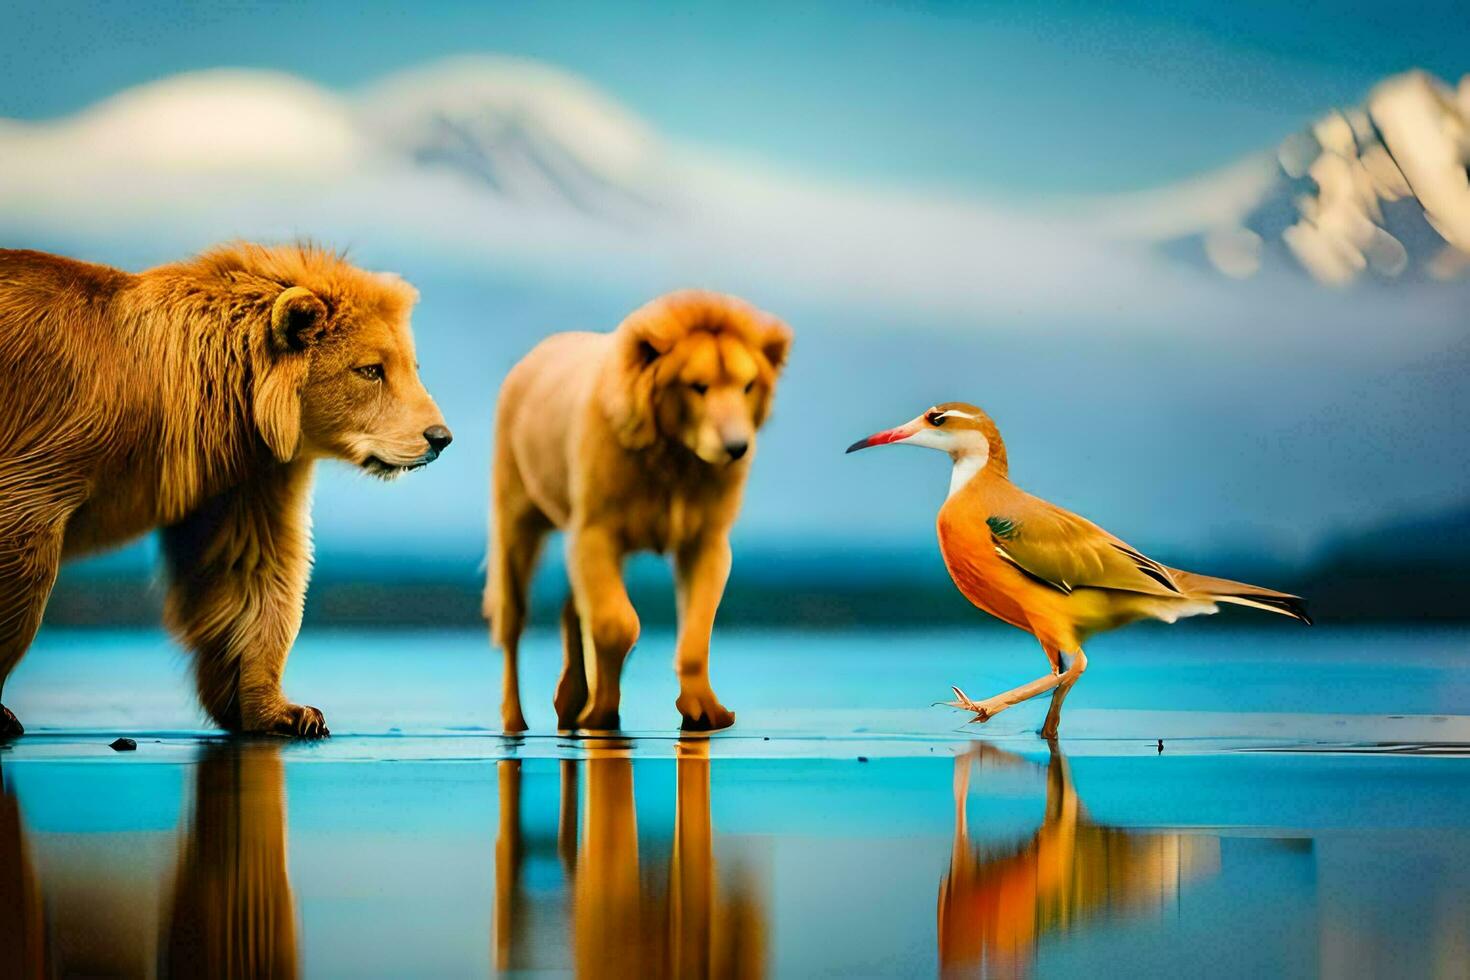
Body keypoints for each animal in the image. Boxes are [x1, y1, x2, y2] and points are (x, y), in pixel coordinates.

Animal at [0, 243, 449, 734]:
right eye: (370, 369)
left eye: (412, 365)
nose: (438, 437)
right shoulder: (54, 435)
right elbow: (22, 548)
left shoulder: (243, 472)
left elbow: (248, 571)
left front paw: (288, 711)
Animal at [488, 287, 793, 731]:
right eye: (698, 386)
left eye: (748, 385)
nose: (737, 447)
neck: (675, 455)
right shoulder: (595, 529)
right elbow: (616, 624)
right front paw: (600, 712)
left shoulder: (706, 538)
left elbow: (696, 629)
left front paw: (705, 711)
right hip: (516, 509)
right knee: (513, 621)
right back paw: (517, 721)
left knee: (571, 606)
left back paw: (568, 701)